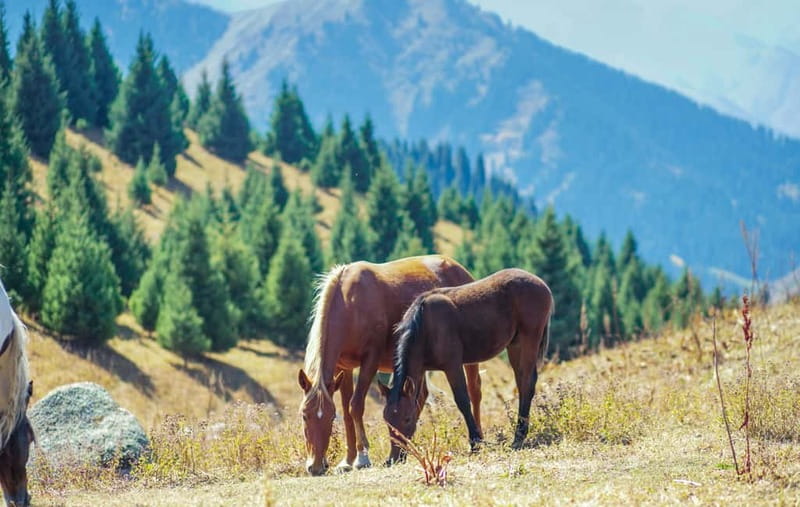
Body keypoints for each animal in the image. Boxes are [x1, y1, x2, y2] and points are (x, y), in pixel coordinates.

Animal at [297, 255, 483, 475]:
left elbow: (355, 406)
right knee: (420, 396)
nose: (316, 466)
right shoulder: (344, 367)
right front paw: (348, 460)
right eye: (304, 416)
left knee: (474, 390)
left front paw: (362, 457)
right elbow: (347, 410)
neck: (350, 303)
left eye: (331, 417)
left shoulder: (370, 360)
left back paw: (478, 437)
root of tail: (459, 268)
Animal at [383, 268, 553, 451]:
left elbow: (462, 400)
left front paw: (475, 441)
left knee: (527, 382)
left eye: (407, 418)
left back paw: (519, 437)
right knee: (522, 382)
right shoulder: (421, 370)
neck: (423, 325)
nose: (395, 455)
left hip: (529, 339)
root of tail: (542, 284)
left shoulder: (452, 366)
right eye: (387, 421)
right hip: (515, 345)